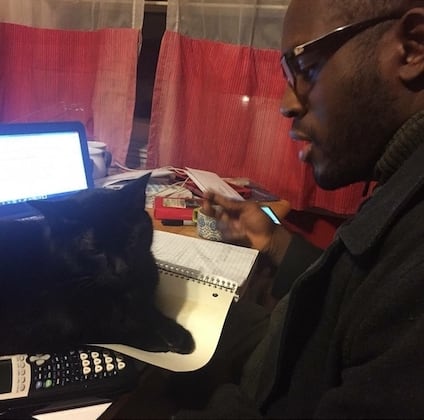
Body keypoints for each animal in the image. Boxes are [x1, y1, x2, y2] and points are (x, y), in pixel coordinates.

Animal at [0, 173, 195, 354]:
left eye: (131, 240)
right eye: (94, 250)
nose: (122, 268)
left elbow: (149, 310)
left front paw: (176, 333)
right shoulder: (52, 326)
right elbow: (109, 328)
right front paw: (152, 339)